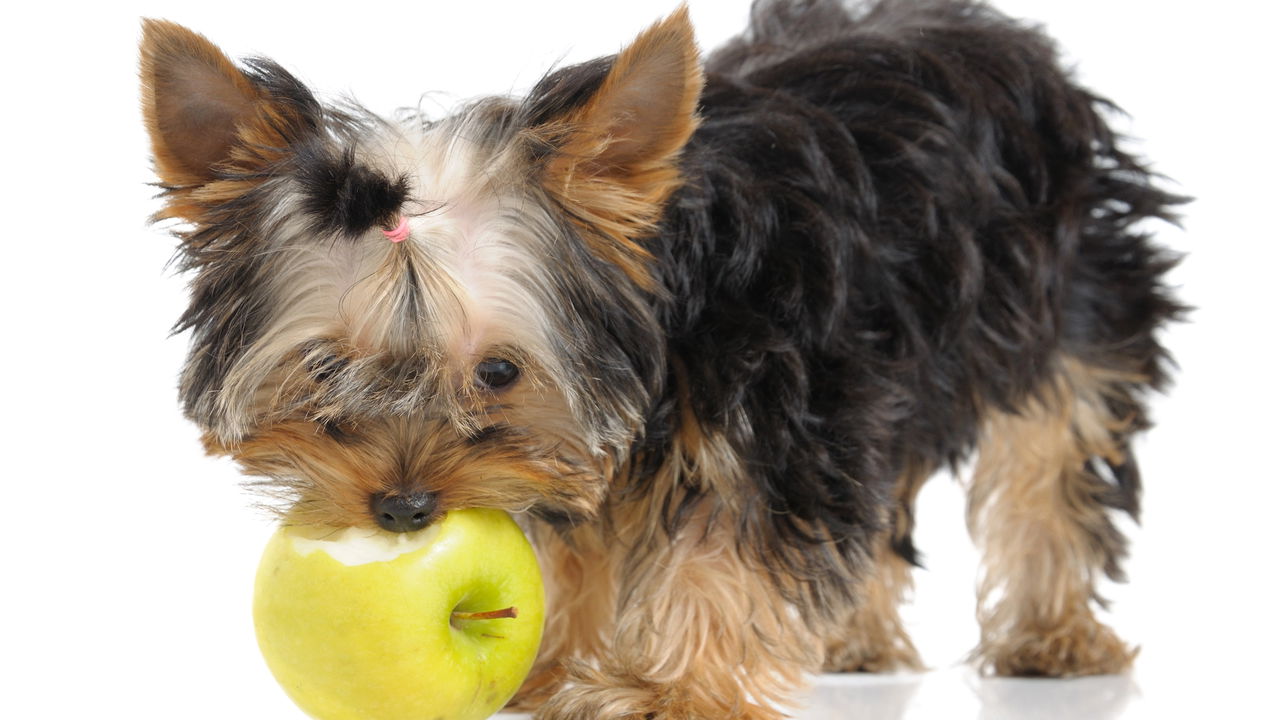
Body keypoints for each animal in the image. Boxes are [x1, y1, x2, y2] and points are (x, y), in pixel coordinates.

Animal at [137, 2, 1176, 716]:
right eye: (322, 369)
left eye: (499, 372)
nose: (400, 508)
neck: (662, 311)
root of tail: (1006, 37)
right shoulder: (581, 441)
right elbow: (577, 539)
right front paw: (557, 660)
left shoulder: (770, 396)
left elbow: (729, 540)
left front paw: (668, 687)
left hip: (1072, 294)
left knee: (1052, 459)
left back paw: (1051, 635)